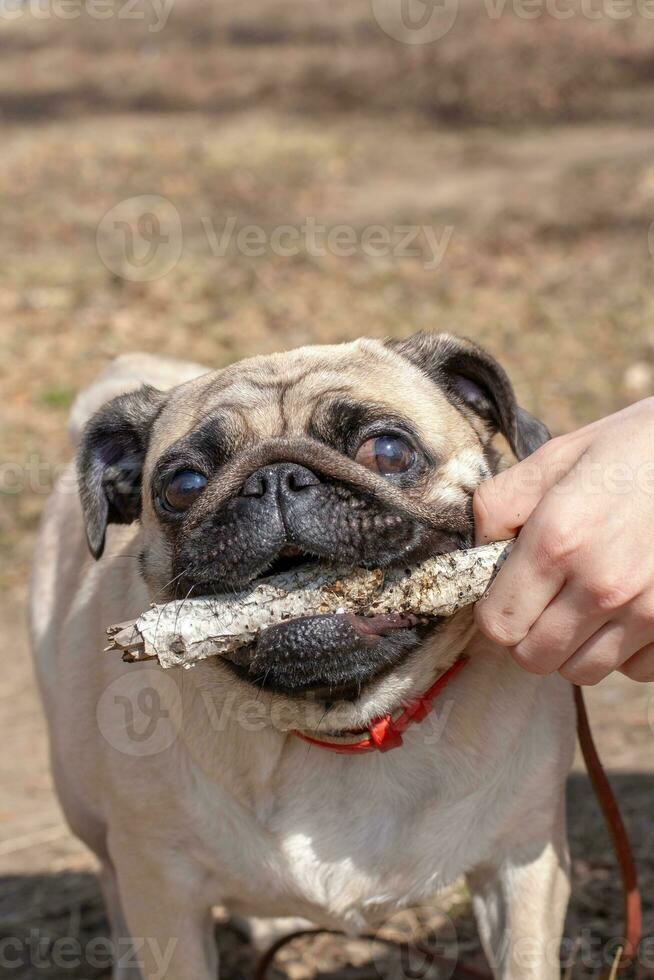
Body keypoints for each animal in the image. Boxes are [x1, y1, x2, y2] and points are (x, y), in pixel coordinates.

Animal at [30, 336, 576, 980]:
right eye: (183, 486)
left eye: (388, 452)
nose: (275, 479)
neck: (345, 728)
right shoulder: (163, 891)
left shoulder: (524, 865)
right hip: (86, 813)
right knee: (112, 884)